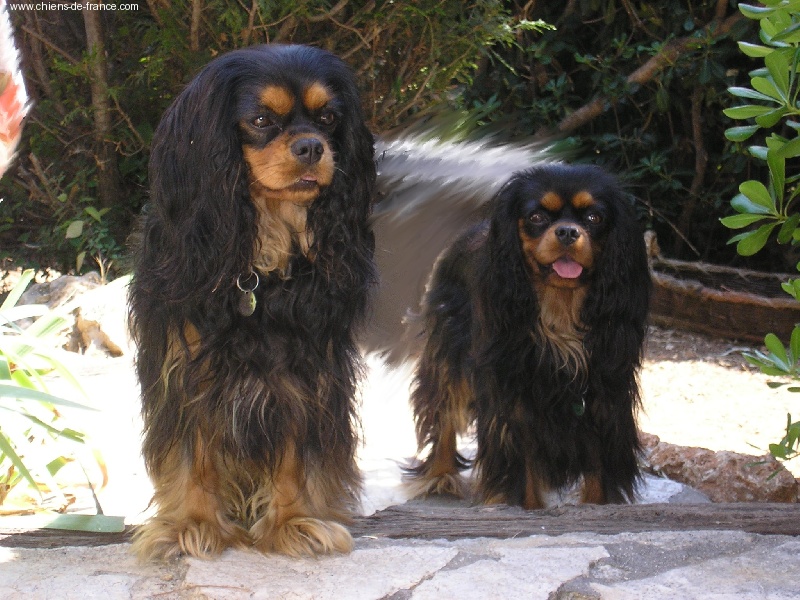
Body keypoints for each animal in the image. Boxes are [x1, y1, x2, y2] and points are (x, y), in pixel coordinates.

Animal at [128, 44, 376, 560]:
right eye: (261, 119)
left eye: (328, 118)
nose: (311, 147)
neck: (259, 264)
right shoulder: (187, 368)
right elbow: (192, 455)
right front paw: (191, 524)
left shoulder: (306, 373)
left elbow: (295, 456)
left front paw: (294, 521)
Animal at [405, 164, 651, 508]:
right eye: (536, 217)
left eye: (594, 217)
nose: (567, 232)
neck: (560, 311)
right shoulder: (513, 402)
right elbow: (523, 477)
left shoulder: (605, 400)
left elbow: (598, 476)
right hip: (449, 347)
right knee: (444, 410)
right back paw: (440, 474)